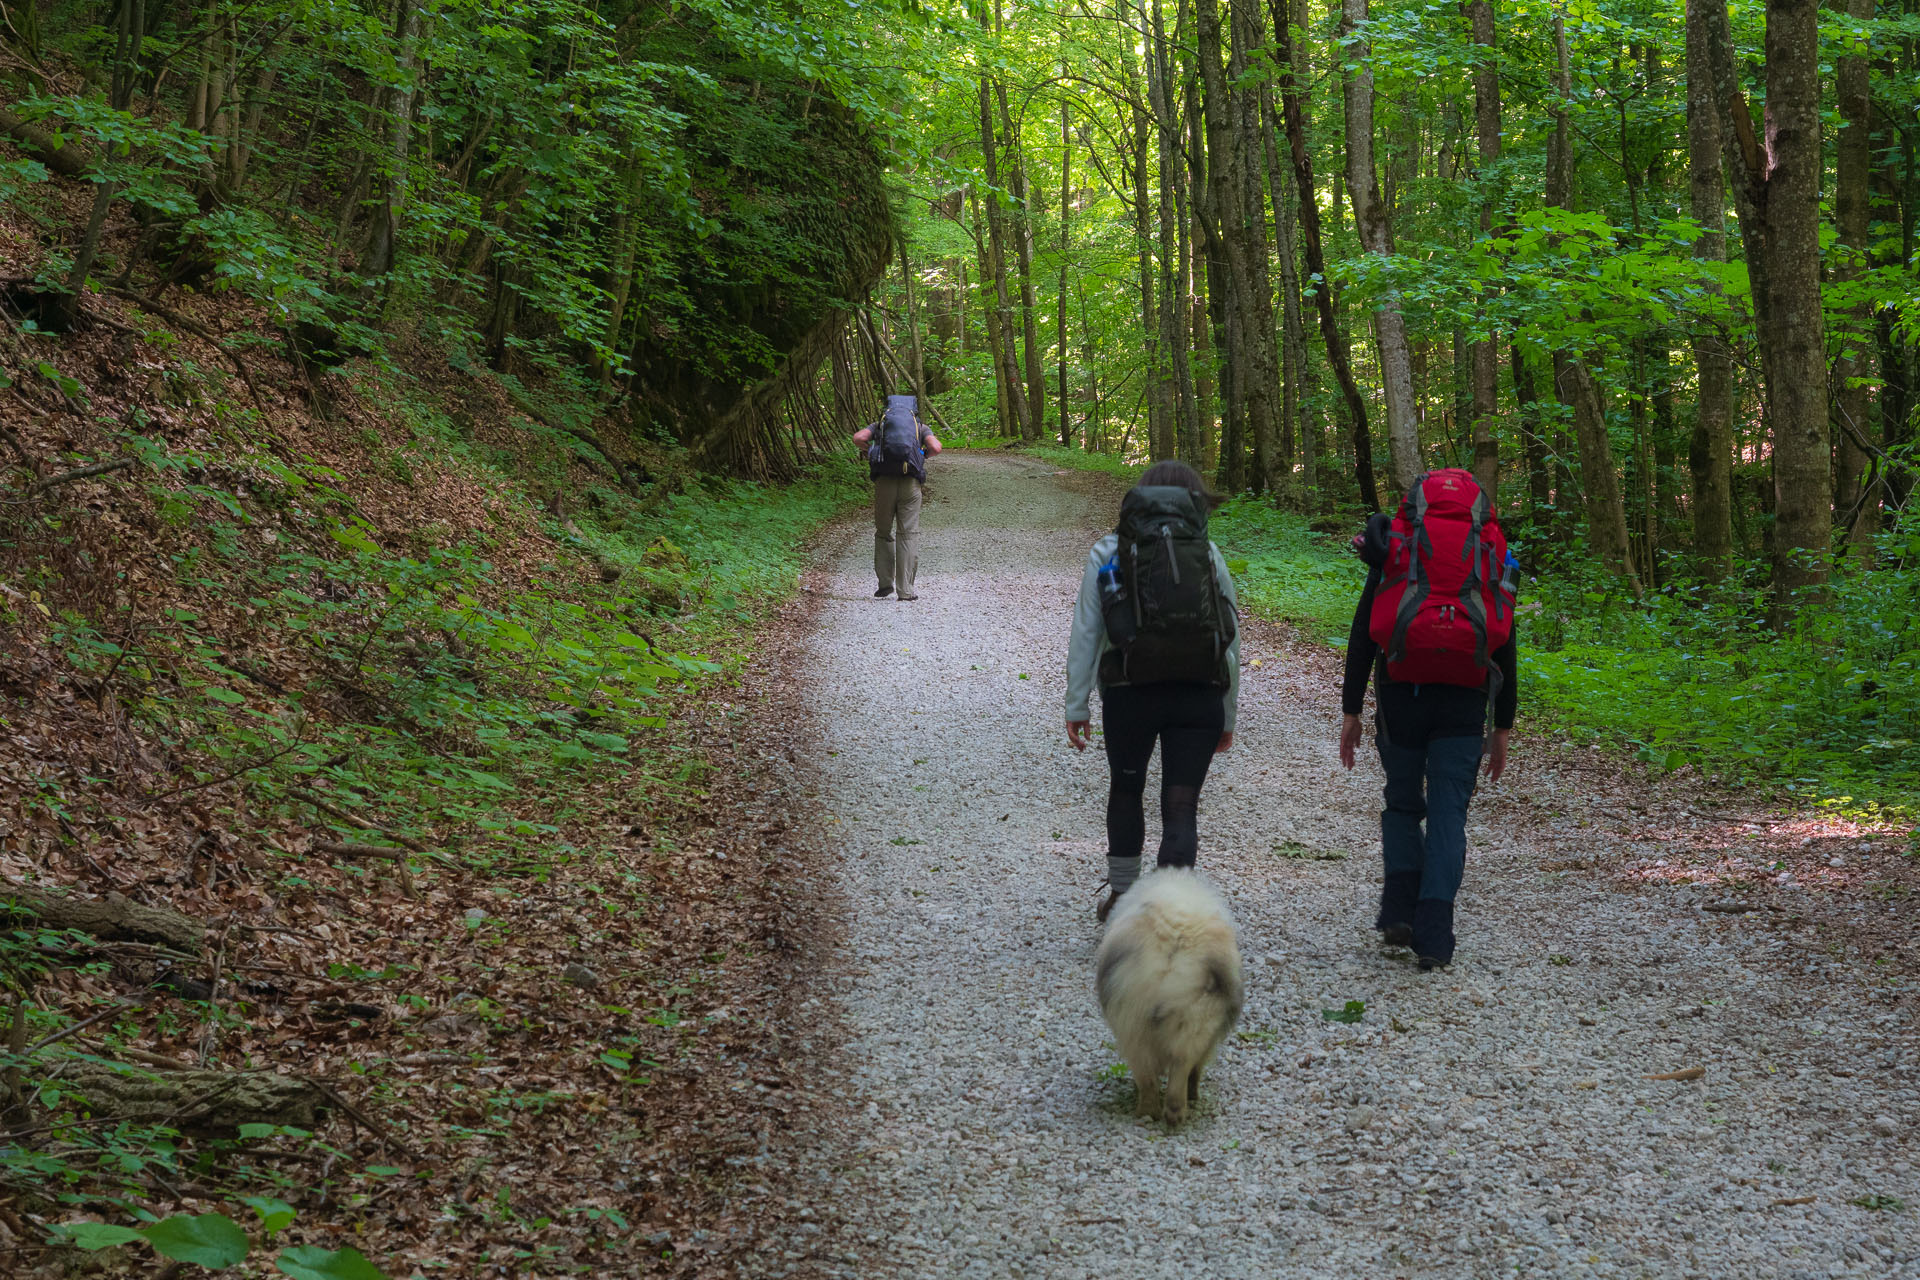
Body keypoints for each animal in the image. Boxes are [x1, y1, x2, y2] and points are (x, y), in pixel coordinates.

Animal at [1098, 867, 1244, 1128]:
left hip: (1136, 1023)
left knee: (1150, 1074)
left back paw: (1154, 1112)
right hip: (1192, 1022)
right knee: (1181, 1067)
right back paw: (1175, 1110)